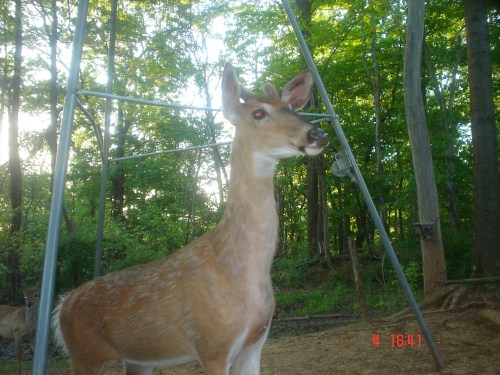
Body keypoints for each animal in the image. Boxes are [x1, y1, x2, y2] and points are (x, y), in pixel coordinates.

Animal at [53, 63, 328, 374]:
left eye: (292, 108)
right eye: (258, 113)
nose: (317, 134)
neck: (245, 270)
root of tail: (61, 306)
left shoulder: (255, 343)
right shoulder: (212, 345)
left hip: (137, 359)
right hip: (84, 354)